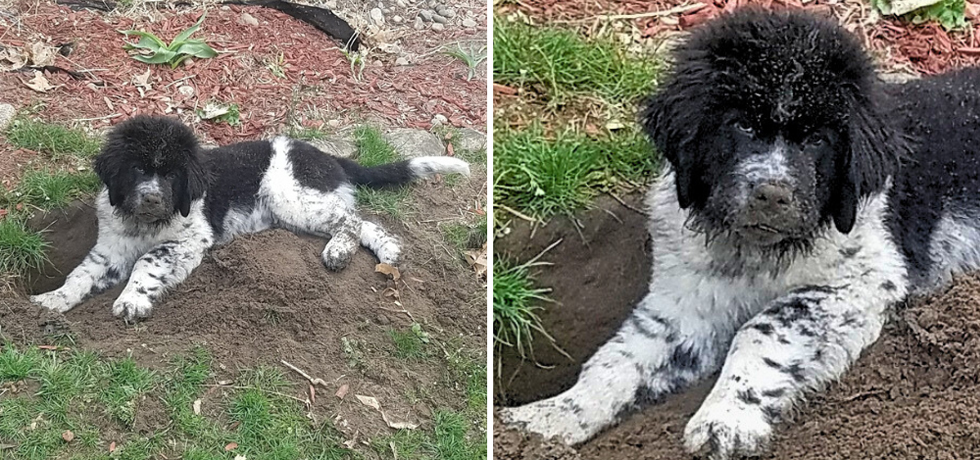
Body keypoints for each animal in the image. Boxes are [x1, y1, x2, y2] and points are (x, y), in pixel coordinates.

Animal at [32, 117, 468, 322]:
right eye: (138, 170)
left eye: (172, 176)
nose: (153, 197)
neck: (146, 223)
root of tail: (327, 157)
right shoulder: (110, 248)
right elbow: (82, 274)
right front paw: (52, 301)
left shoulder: (191, 240)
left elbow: (148, 260)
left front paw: (131, 301)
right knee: (360, 219)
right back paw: (388, 250)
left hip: (292, 197)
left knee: (350, 220)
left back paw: (339, 253)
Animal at [502, 8, 980, 460]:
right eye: (743, 125)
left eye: (817, 139)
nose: (772, 194)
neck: (755, 253)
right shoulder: (686, 299)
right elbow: (623, 355)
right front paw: (546, 420)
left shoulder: (862, 281)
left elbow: (762, 327)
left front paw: (724, 420)